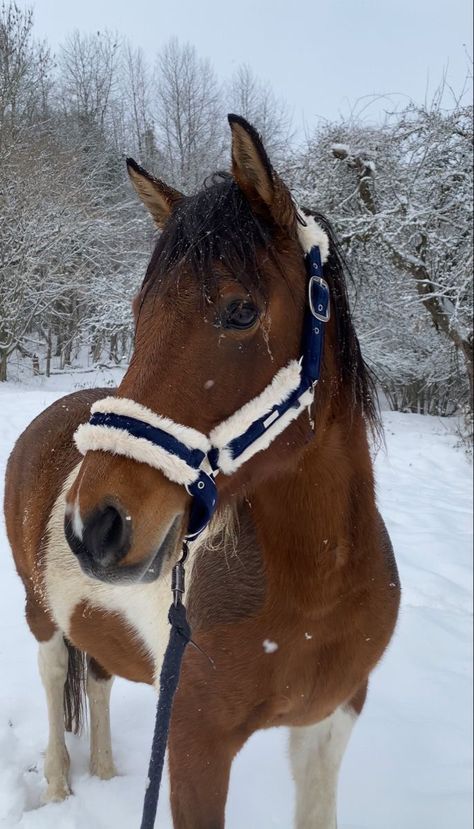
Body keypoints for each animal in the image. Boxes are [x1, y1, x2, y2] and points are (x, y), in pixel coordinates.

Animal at [3, 116, 400, 828]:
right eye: (139, 313)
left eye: (241, 311)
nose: (93, 526)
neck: (318, 583)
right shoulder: (195, 747)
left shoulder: (329, 723)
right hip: (40, 612)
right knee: (53, 683)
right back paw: (59, 787)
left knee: (97, 681)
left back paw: (106, 770)